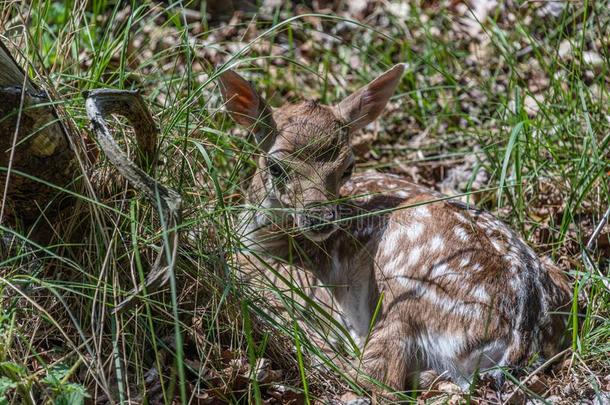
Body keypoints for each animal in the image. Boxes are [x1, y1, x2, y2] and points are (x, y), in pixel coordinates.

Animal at [217, 64, 568, 390]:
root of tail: (520, 341)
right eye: (275, 166)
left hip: (405, 287)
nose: (320, 219)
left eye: (348, 168)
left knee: (376, 376)